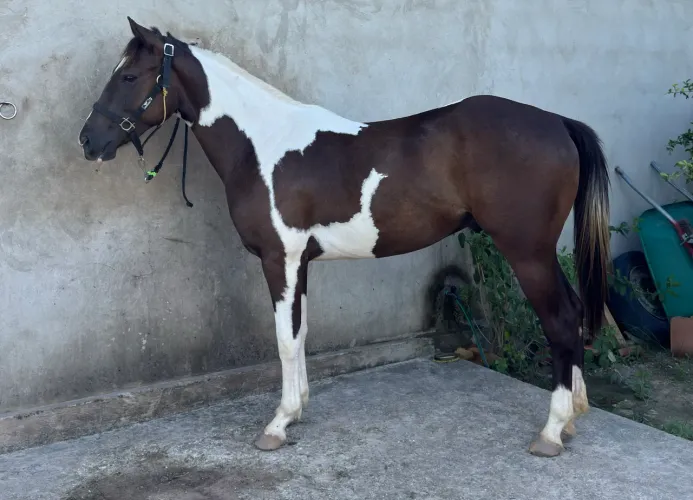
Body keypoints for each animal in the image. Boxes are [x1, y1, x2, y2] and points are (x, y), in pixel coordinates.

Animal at [78, 17, 611, 458]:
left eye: (129, 77)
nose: (88, 140)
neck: (263, 145)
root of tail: (558, 122)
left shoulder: (279, 259)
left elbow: (284, 340)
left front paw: (277, 425)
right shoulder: (300, 263)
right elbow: (300, 333)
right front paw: (297, 410)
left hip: (528, 253)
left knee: (562, 320)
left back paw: (551, 432)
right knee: (574, 312)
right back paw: (573, 419)